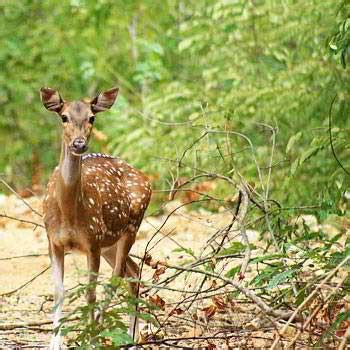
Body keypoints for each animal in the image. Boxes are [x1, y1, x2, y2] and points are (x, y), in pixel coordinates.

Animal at [40, 86, 152, 348]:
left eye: (92, 118)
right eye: (64, 117)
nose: (79, 144)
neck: (69, 214)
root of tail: (146, 179)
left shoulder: (91, 241)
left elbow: (90, 293)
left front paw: (89, 338)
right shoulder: (52, 240)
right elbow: (59, 290)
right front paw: (55, 343)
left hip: (130, 227)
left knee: (117, 278)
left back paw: (112, 333)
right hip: (109, 242)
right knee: (134, 273)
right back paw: (131, 337)